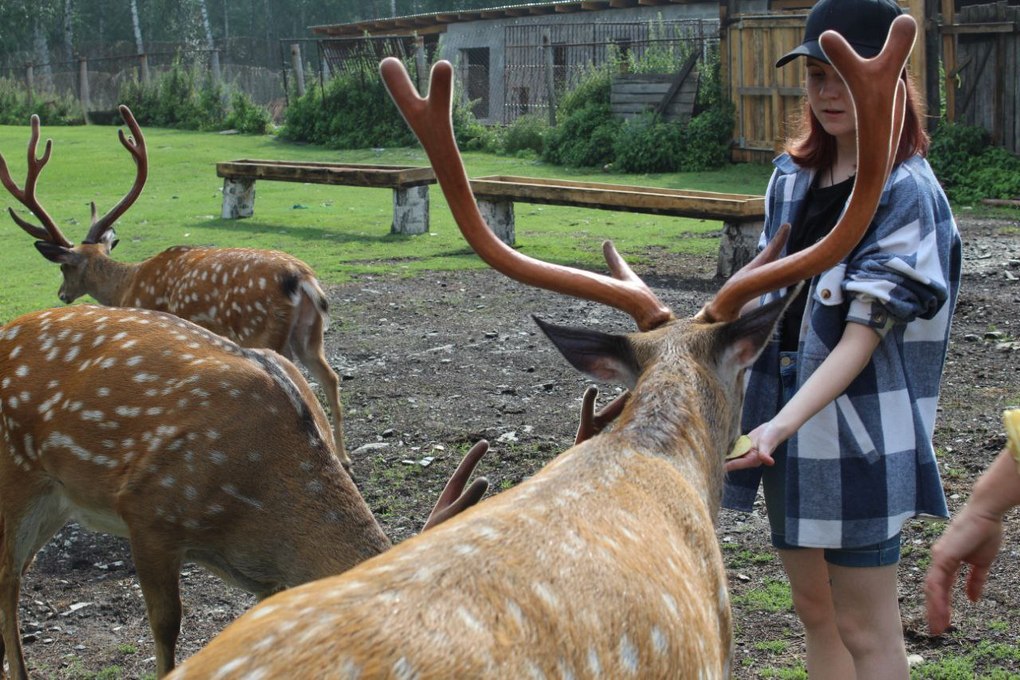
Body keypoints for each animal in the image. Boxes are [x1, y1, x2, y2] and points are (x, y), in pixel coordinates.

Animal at [0, 107, 352, 468]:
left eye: (64, 266)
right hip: (309, 333)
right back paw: (343, 457)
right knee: (330, 376)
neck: (127, 287)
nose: (62, 294)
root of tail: (303, 278)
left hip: (263, 330)